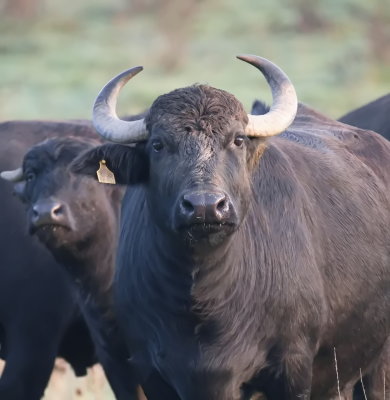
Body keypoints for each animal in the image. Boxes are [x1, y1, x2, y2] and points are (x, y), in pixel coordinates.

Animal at [71, 54, 388, 398]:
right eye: (157, 145)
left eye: (237, 140)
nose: (205, 206)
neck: (203, 301)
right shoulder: (150, 371)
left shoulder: (293, 370)